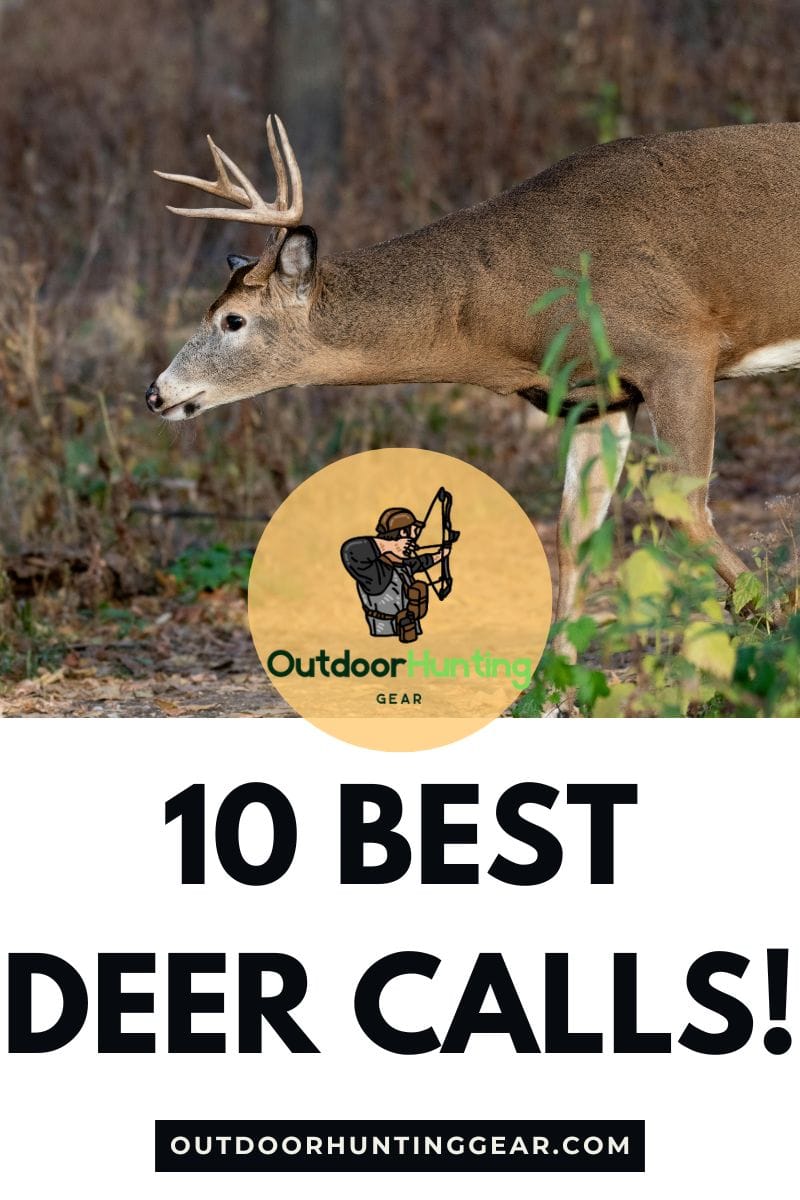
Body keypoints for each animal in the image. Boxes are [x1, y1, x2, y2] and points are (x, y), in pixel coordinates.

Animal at [148, 114, 800, 658]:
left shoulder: (679, 350)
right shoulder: (597, 395)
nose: (157, 392)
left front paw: (775, 621)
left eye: (233, 321)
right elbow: (572, 531)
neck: (519, 311)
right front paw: (558, 684)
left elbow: (684, 508)